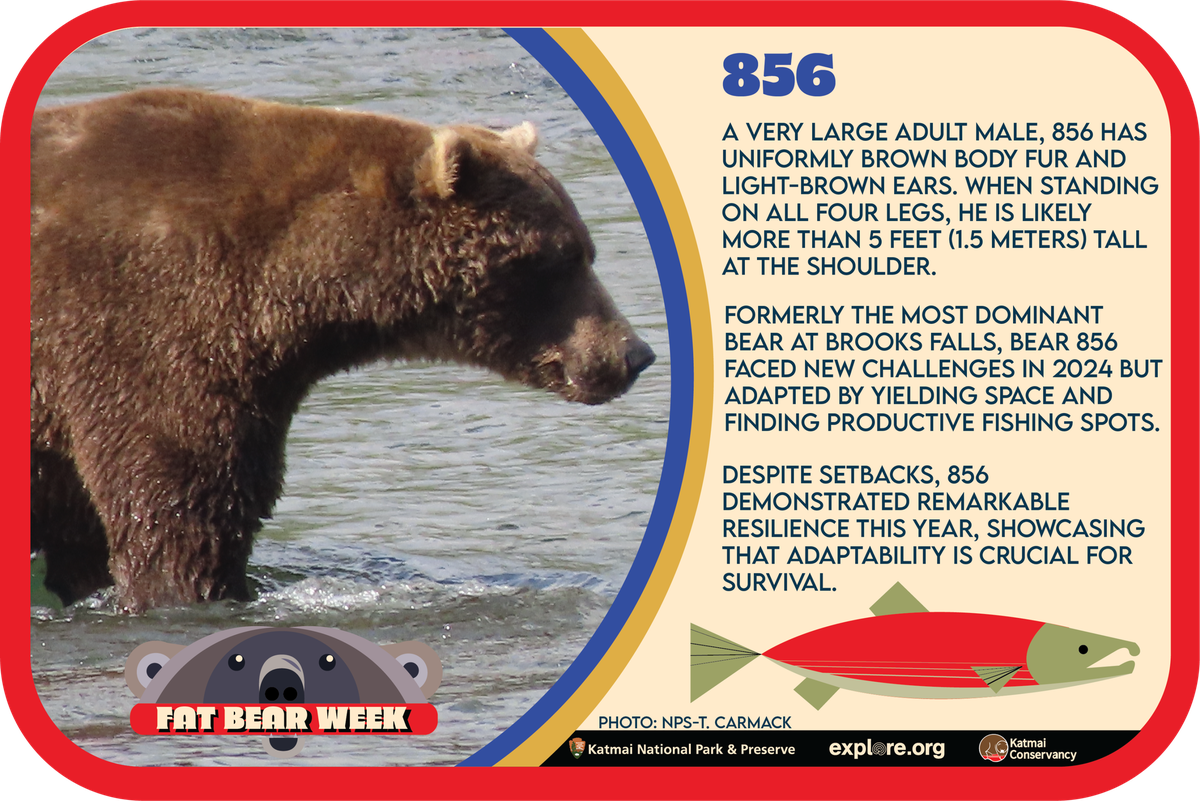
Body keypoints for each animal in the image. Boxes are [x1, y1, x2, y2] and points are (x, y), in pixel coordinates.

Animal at [31, 89, 655, 612]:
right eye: (561, 256)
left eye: (588, 249)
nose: (634, 353)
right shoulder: (146, 331)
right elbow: (179, 498)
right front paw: (191, 589)